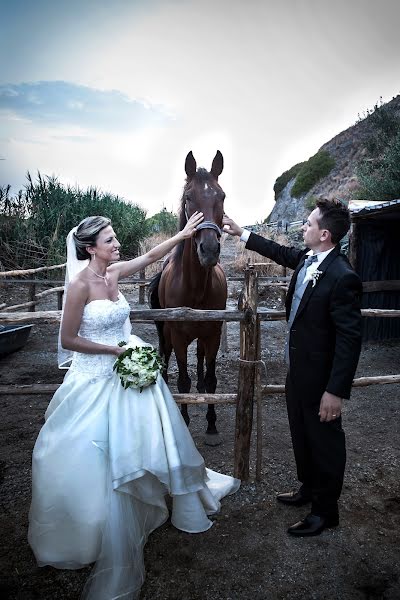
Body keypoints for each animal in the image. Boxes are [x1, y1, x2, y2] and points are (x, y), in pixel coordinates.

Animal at [148, 150, 227, 446]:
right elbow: (183, 382)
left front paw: (212, 426)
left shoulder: (213, 333)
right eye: (188, 197)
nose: (209, 249)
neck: (194, 289)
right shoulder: (179, 336)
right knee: (166, 356)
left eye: (222, 196)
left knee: (202, 360)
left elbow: (213, 379)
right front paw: (183, 421)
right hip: (166, 334)